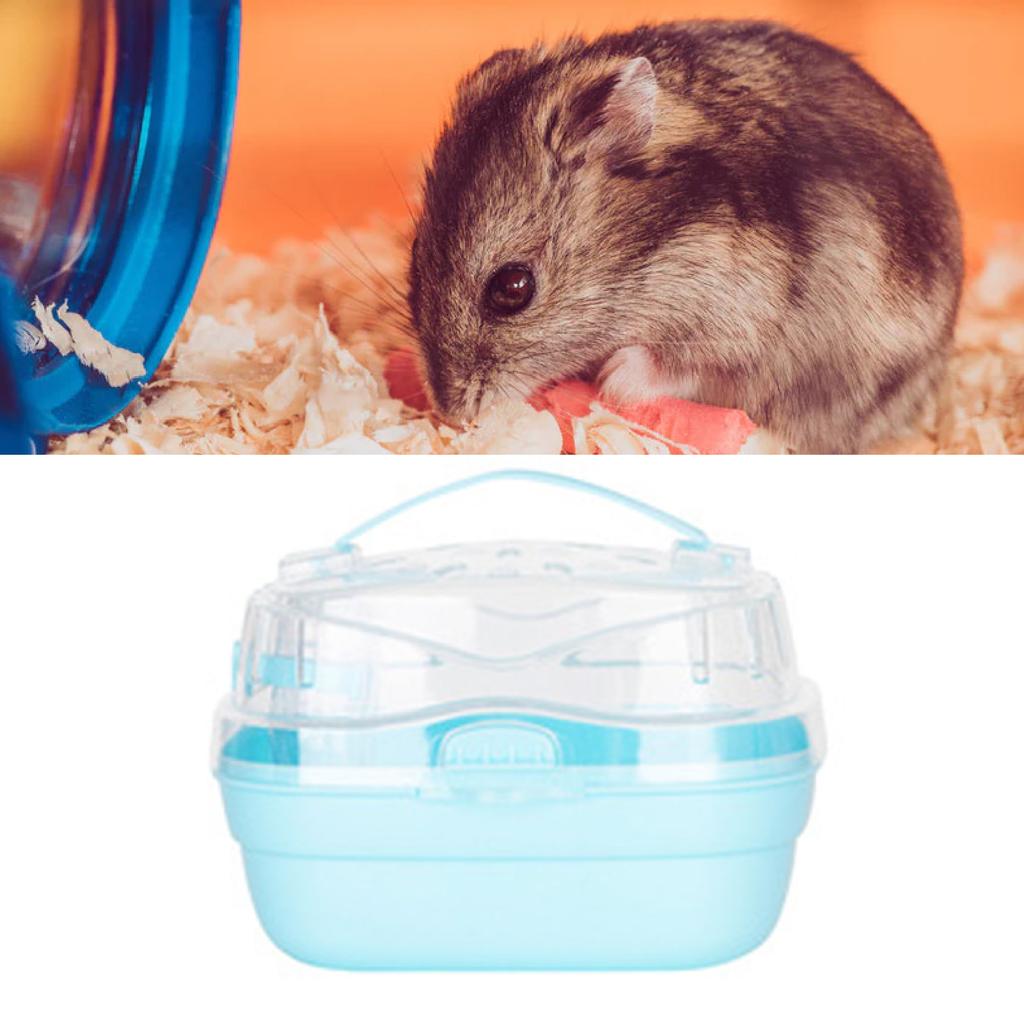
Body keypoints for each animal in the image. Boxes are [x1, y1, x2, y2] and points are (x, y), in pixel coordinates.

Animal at [407, 20, 963, 453]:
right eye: (415, 251)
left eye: (513, 287)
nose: (452, 412)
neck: (656, 252)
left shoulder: (742, 331)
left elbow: (683, 365)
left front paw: (612, 378)